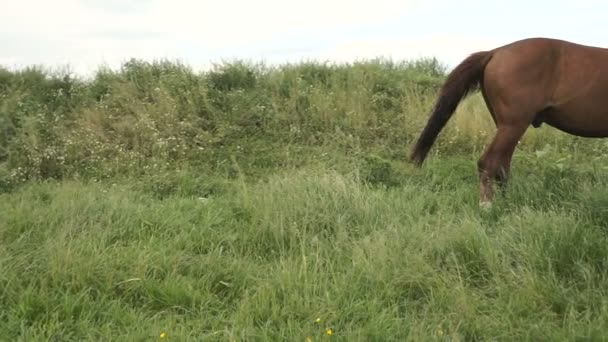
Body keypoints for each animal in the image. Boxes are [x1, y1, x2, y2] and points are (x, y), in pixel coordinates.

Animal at [408, 38, 608, 208]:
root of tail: (495, 52)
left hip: (506, 127)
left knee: (501, 166)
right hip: (513, 125)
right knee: (488, 163)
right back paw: (487, 206)